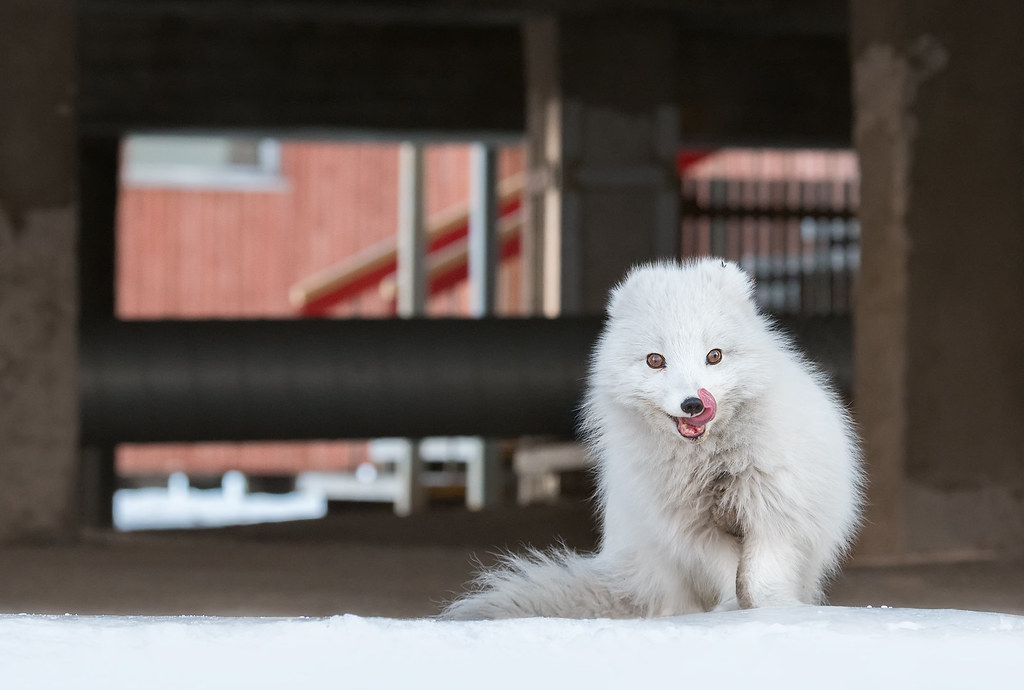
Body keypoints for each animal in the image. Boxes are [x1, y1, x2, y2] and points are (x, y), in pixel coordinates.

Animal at [442, 259, 864, 619]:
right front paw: (731, 611)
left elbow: (757, 576)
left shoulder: (774, 516)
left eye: (714, 356)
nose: (694, 403)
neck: (710, 465)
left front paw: (771, 609)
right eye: (655, 360)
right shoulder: (691, 532)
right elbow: (729, 575)